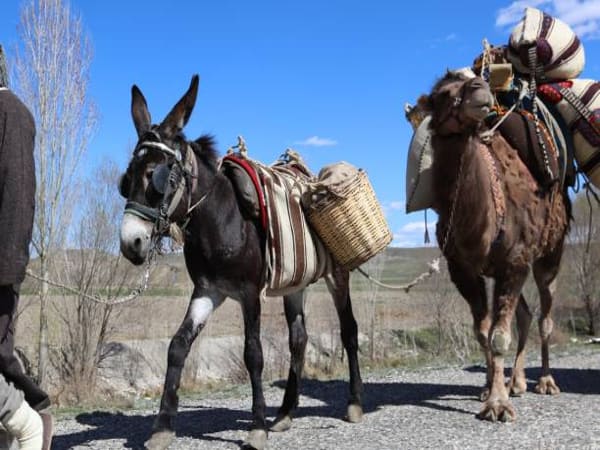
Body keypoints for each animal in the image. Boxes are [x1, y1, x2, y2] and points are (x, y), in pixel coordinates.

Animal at [414, 71, 568, 422]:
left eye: (469, 82)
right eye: (441, 94)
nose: (479, 89)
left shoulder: (516, 261)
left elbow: (499, 336)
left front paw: (498, 405)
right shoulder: (464, 269)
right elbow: (483, 332)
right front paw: (490, 389)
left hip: (549, 255)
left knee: (545, 315)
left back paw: (546, 381)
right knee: (524, 314)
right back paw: (517, 382)